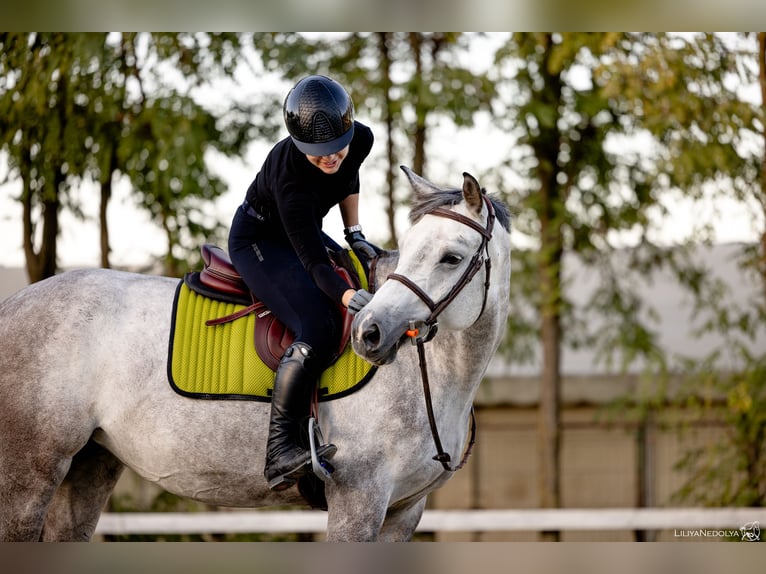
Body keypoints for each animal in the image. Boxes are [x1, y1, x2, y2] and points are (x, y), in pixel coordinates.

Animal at [3, 168, 512, 544]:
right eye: (407, 251)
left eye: (450, 257)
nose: (369, 333)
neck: (429, 377)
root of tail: (13, 305)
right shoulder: (358, 502)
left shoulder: (403, 513)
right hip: (29, 475)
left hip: (90, 466)